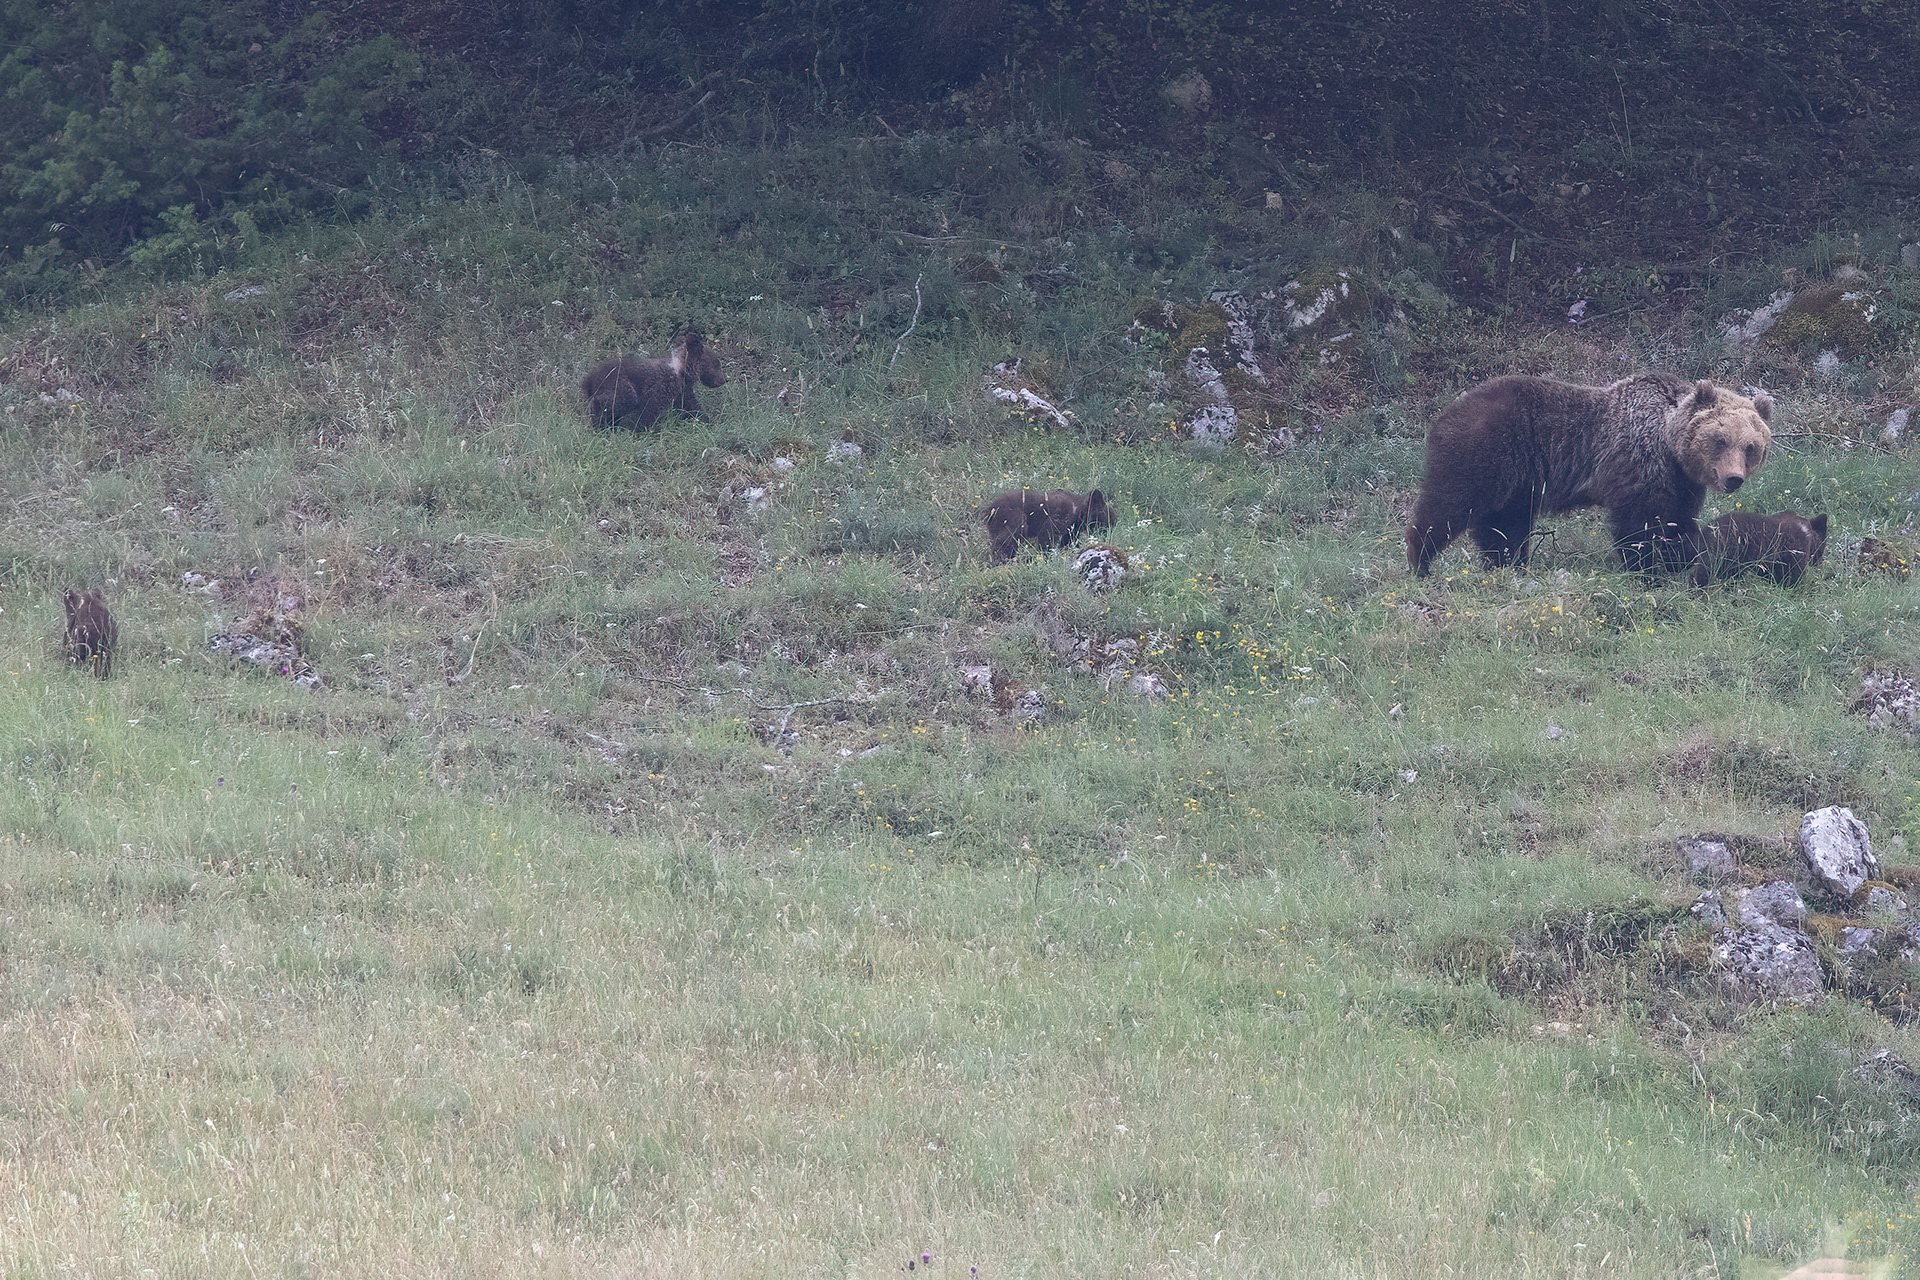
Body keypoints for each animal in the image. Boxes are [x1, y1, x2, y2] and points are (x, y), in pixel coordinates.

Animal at [581, 330, 726, 431]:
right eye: (716, 365)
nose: (723, 380)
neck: (680, 370)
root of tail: (589, 379)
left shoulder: (682, 391)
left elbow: (693, 407)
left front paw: (707, 420)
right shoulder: (658, 391)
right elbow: (648, 413)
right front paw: (641, 430)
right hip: (622, 387)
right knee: (610, 403)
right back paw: (600, 424)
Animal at [984, 487, 1114, 563]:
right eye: (1106, 516)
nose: (1111, 528)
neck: (1077, 512)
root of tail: (990, 510)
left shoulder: (1071, 530)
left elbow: (1068, 541)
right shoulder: (1060, 516)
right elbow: (1047, 536)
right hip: (1013, 517)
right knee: (1008, 537)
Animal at [1405, 373, 1773, 577]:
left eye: (1751, 446)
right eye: (1720, 439)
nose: (1733, 478)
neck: (1668, 443)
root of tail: (1448, 411)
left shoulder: (1681, 483)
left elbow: (1676, 522)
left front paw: (1679, 556)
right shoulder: (1636, 463)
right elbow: (1639, 525)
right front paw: (1646, 566)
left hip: (1516, 479)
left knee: (1504, 523)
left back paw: (1507, 564)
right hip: (1486, 451)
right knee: (1449, 503)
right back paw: (1420, 563)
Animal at [1688, 510, 1828, 587]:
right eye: (1822, 548)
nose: (1819, 562)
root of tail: (1707, 530)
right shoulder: (1792, 557)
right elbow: (1790, 577)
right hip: (1725, 555)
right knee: (1704, 573)